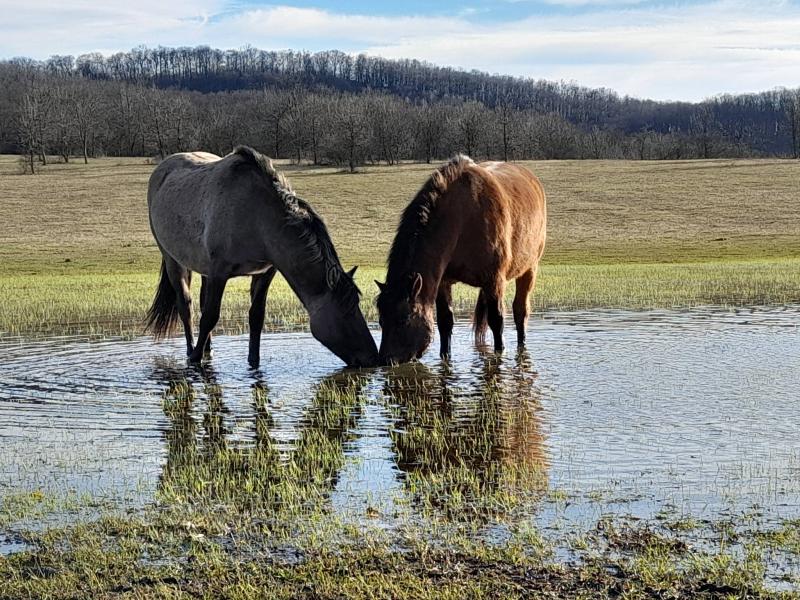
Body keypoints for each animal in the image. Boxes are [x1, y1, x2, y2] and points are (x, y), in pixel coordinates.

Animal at [145, 148, 378, 368]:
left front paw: (253, 362)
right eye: (347, 311)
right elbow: (210, 316)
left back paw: (208, 349)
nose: (373, 358)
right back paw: (192, 348)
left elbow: (256, 317)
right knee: (186, 305)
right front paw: (194, 359)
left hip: (202, 268)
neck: (258, 216)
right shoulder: (219, 273)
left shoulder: (265, 272)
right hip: (172, 259)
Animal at [376, 155, 544, 364]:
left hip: (530, 268)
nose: (385, 361)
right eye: (381, 319)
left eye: (404, 319)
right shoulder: (443, 282)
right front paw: (445, 357)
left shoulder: (494, 280)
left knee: (520, 311)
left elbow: (497, 321)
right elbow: (445, 322)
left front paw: (499, 354)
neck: (463, 219)